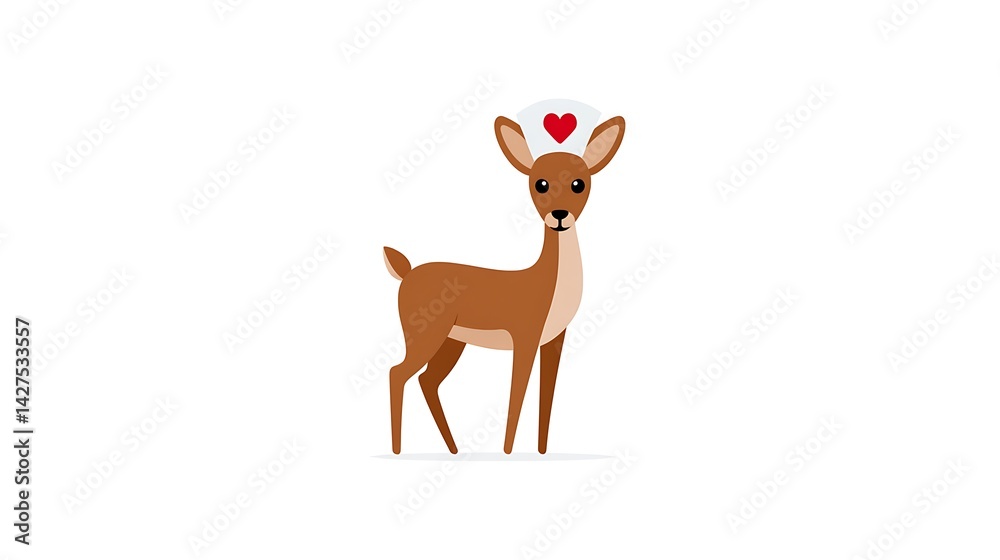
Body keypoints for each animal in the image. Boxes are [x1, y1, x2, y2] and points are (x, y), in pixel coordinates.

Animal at [382, 112, 625, 454]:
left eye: (579, 183)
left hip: (452, 342)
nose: (559, 214)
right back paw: (399, 450)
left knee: (426, 381)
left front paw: (541, 452)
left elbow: (546, 396)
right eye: (540, 183)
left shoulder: (554, 340)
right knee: (397, 373)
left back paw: (454, 449)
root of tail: (407, 272)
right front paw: (508, 452)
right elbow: (517, 394)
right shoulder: (524, 338)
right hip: (426, 337)